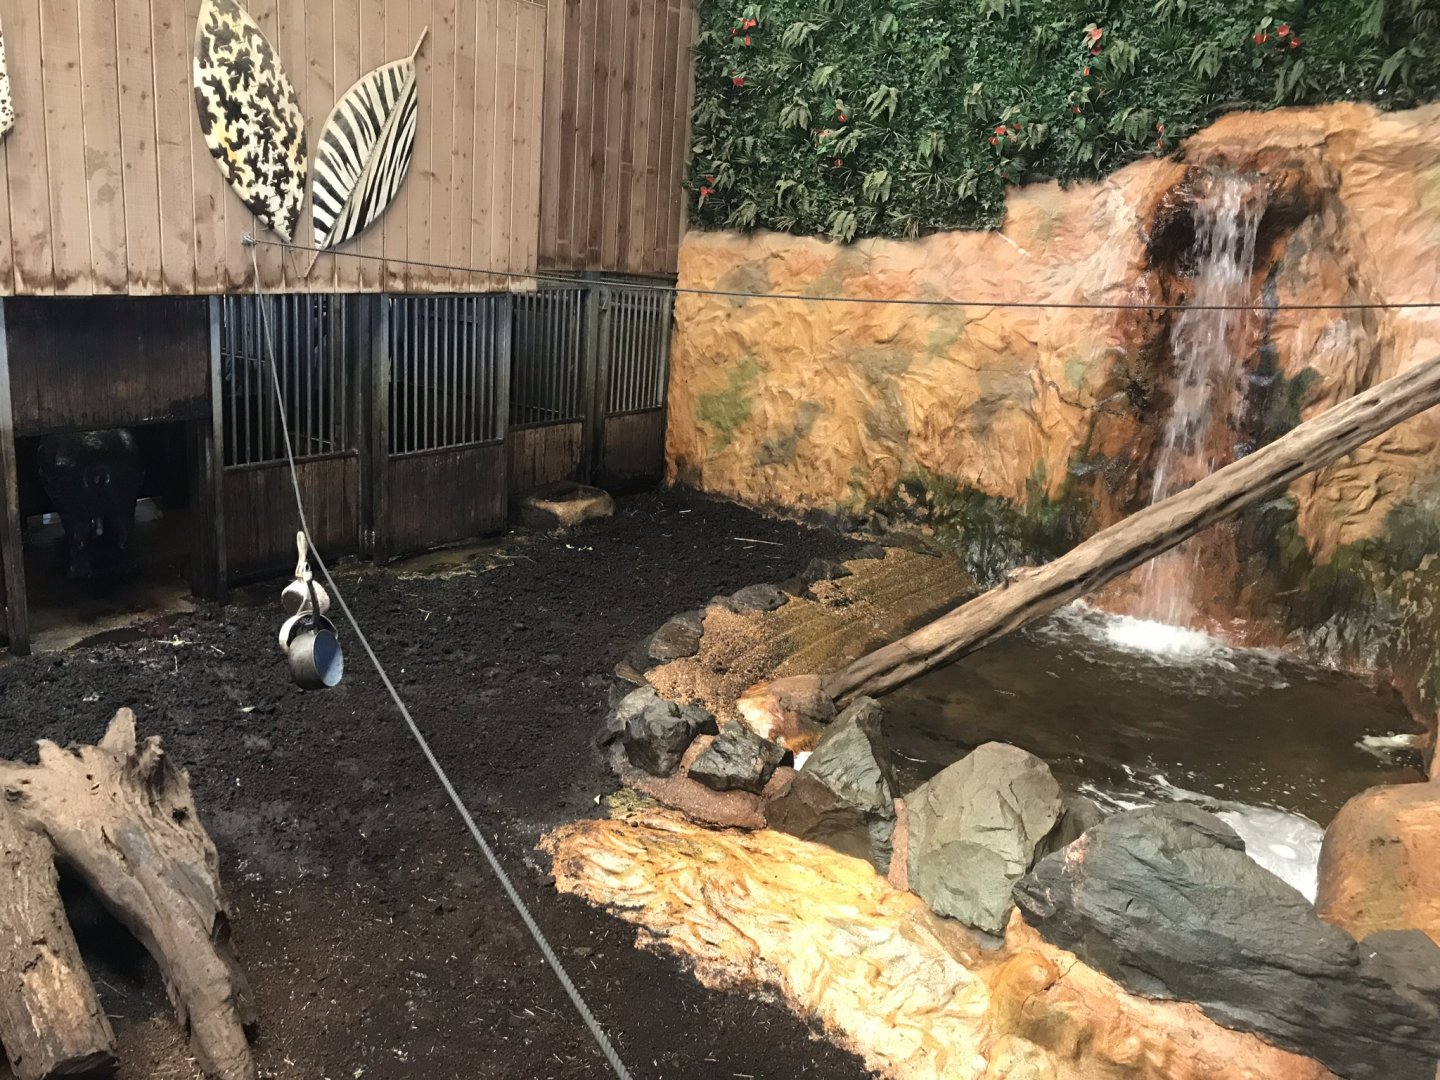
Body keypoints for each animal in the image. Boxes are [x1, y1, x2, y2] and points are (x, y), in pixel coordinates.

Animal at [37, 428, 145, 580]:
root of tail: (97, 468)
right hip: (125, 501)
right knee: (125, 530)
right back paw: (127, 570)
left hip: (73, 508)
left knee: (78, 536)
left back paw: (76, 576)